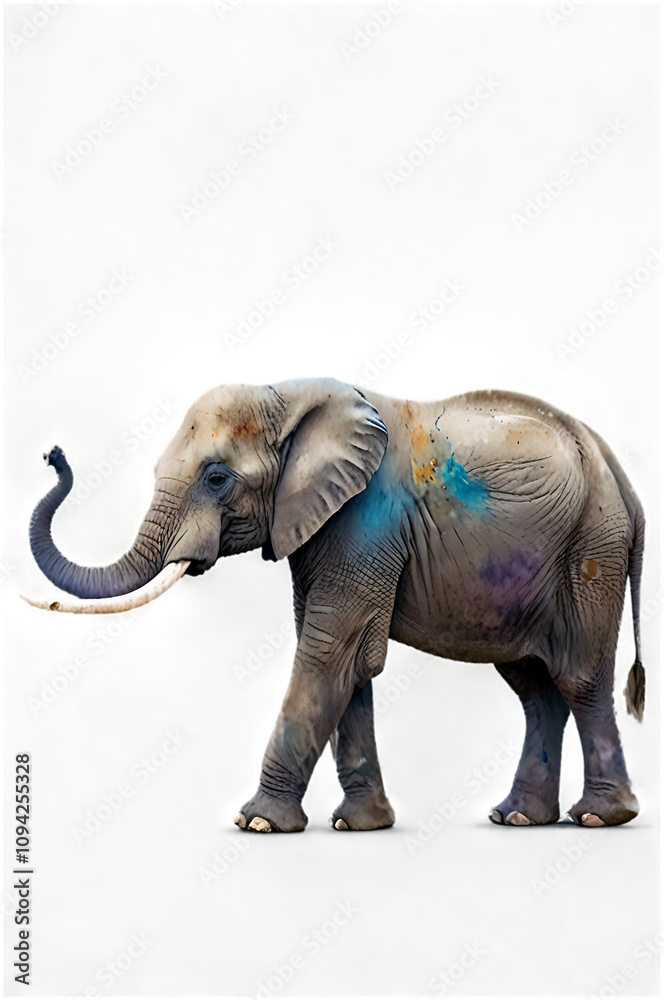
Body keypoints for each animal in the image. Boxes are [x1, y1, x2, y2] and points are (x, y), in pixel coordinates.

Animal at [25, 378, 646, 833]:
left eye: (217, 478)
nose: (52, 453)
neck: (287, 395)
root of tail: (619, 472)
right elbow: (348, 663)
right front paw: (360, 826)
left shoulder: (365, 522)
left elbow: (330, 651)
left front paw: (257, 824)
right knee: (535, 688)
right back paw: (517, 817)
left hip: (591, 549)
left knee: (579, 677)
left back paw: (599, 818)